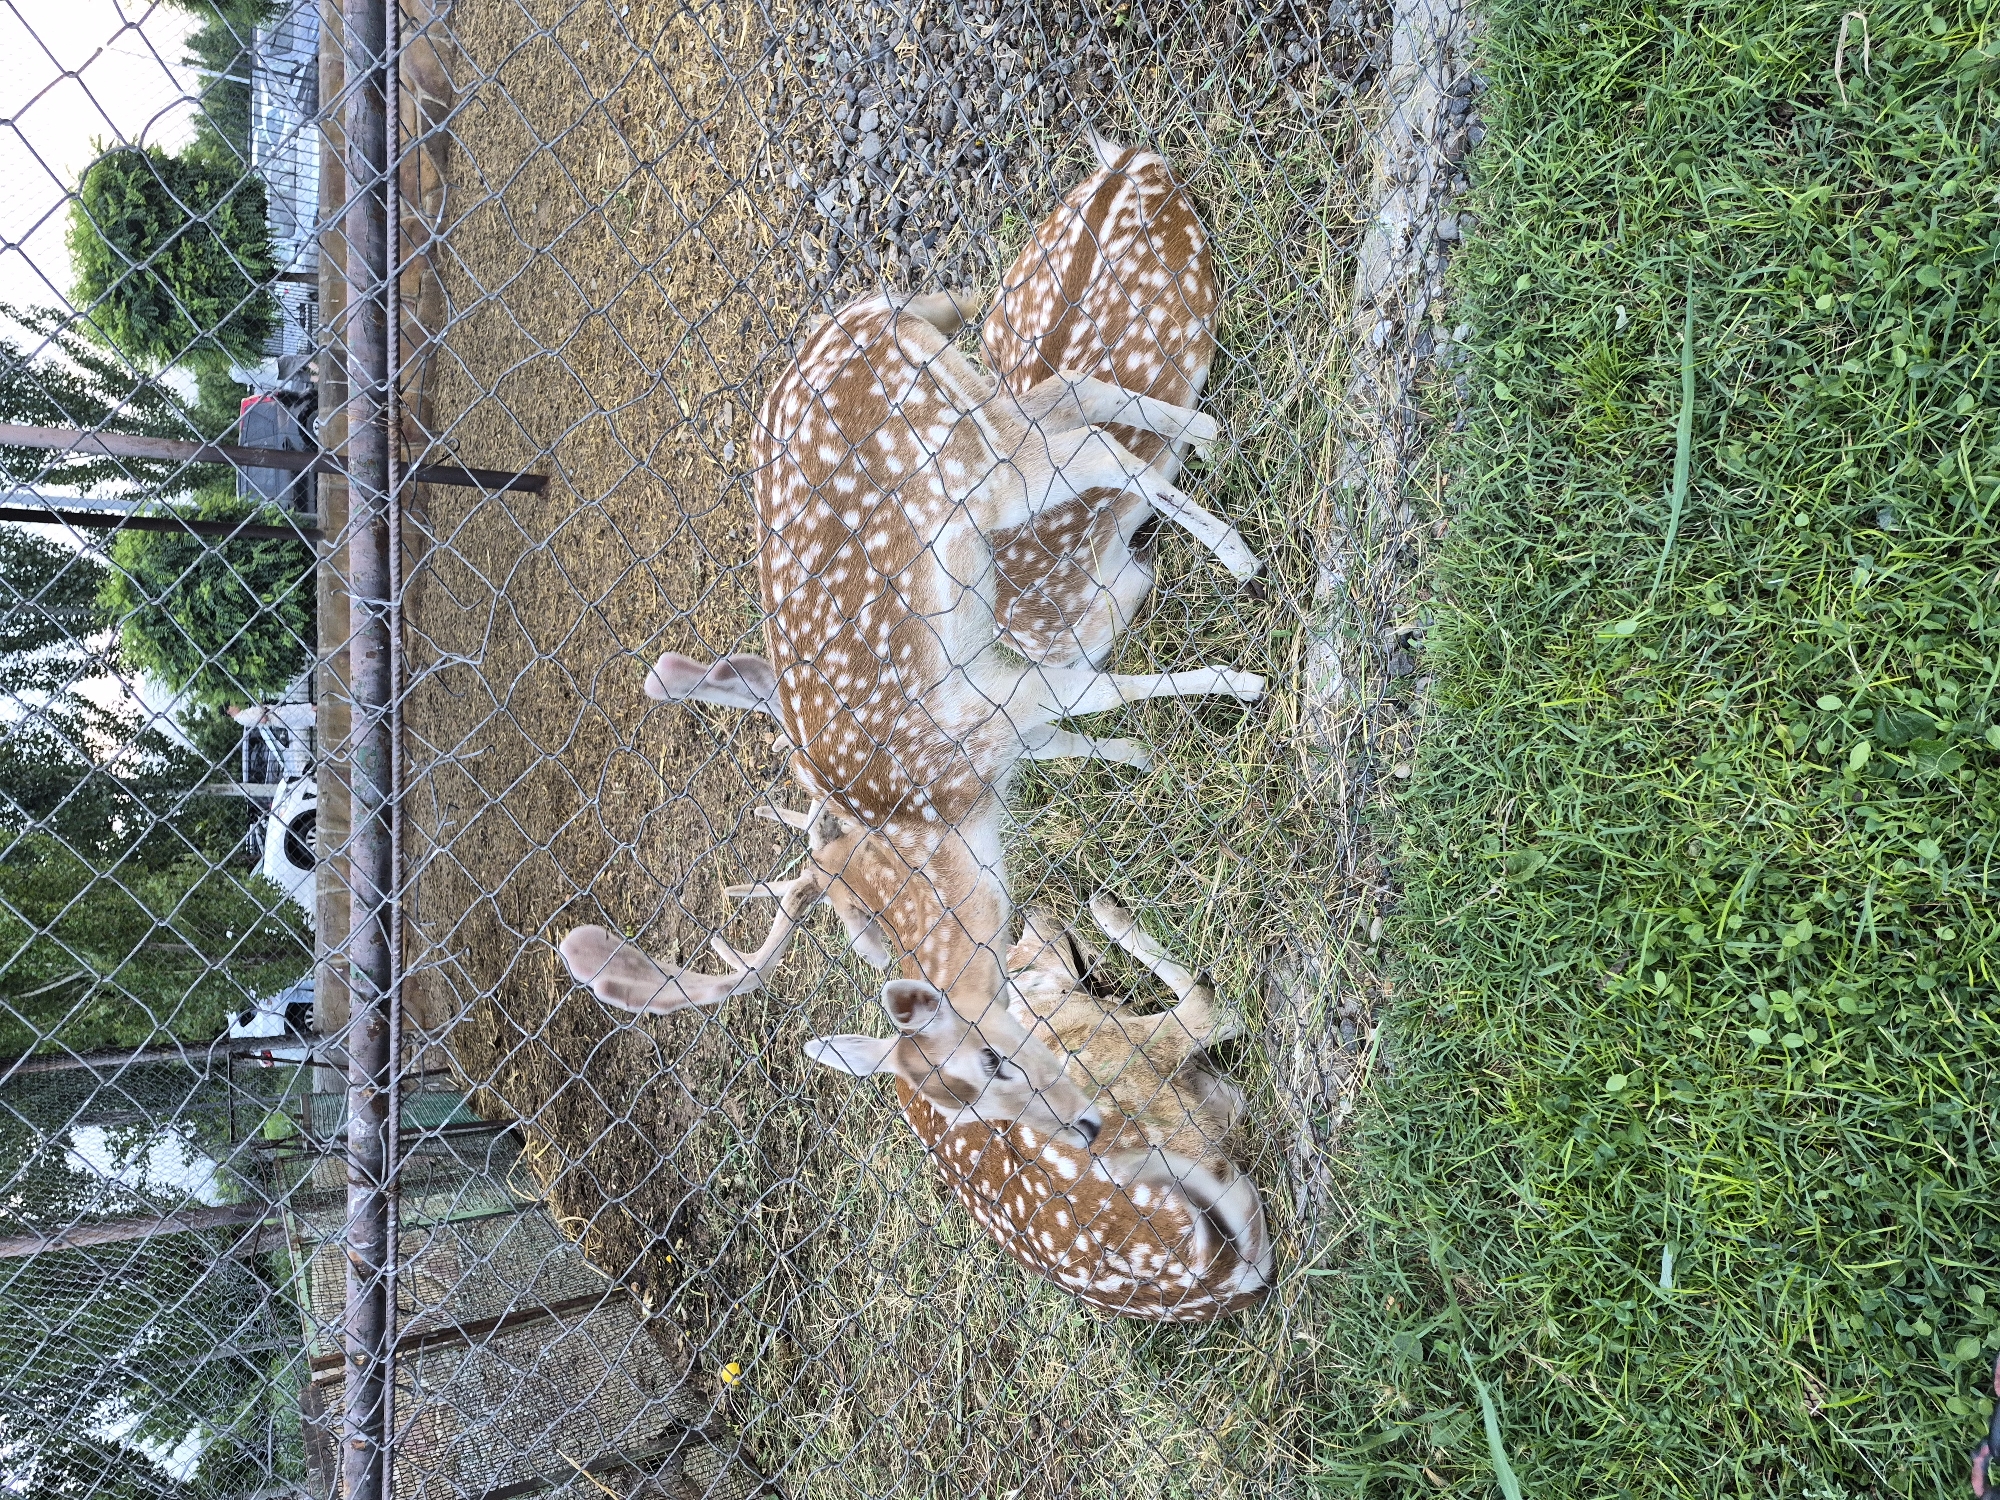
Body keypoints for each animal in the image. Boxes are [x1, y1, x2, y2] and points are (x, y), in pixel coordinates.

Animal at [558, 290, 1263, 1030]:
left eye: (866, 928)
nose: (966, 995)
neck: (948, 815)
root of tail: (870, 309)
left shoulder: (989, 714)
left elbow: (1106, 693)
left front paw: (1242, 685)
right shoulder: (1001, 711)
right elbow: (1075, 727)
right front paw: (1141, 755)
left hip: (977, 468)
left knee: (1090, 443)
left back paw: (1240, 554)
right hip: (979, 418)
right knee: (1070, 397)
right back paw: (1211, 435)